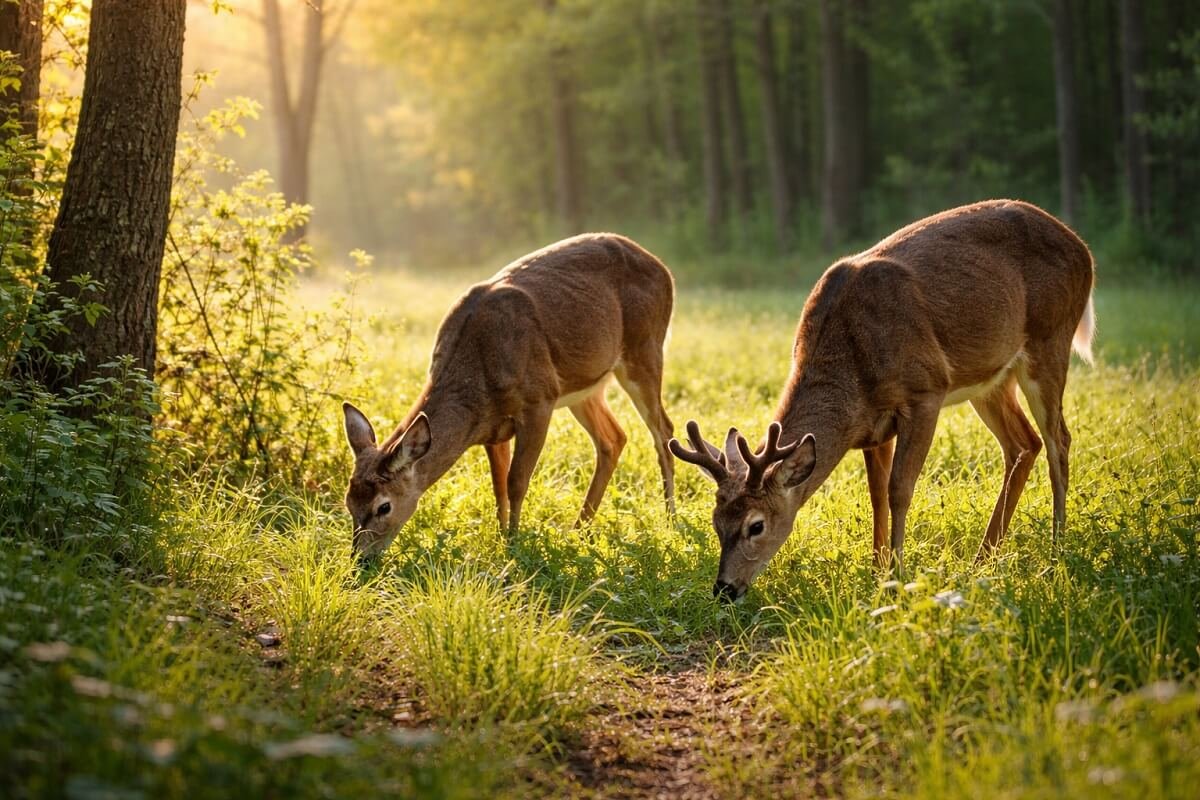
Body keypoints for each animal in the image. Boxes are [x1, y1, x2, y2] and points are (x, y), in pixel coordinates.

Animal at [342, 233, 676, 559]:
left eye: (384, 506)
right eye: (348, 502)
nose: (361, 560)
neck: (479, 375)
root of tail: (663, 268)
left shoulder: (540, 400)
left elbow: (516, 481)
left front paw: (514, 546)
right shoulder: (493, 428)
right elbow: (498, 485)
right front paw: (502, 538)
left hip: (645, 349)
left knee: (664, 431)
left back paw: (670, 521)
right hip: (586, 386)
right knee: (613, 438)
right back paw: (579, 530)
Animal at [670, 200, 1096, 602]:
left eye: (755, 525)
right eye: (716, 522)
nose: (724, 589)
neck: (853, 369)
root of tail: (1083, 249)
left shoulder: (926, 391)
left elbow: (899, 490)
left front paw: (898, 576)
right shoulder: (872, 427)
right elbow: (876, 496)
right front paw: (877, 572)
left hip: (1050, 339)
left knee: (1059, 440)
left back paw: (1056, 552)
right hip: (992, 377)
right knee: (1024, 444)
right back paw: (983, 559)